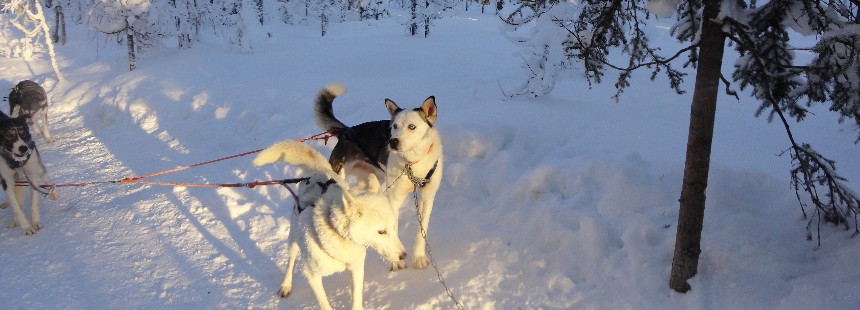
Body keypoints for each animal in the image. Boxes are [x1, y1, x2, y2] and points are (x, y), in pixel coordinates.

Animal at [252, 141, 406, 310]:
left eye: (393, 227)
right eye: (381, 231)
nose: (403, 255)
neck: (338, 235)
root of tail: (321, 171)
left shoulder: (357, 268)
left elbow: (356, 298)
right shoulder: (312, 276)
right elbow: (325, 304)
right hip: (293, 239)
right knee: (291, 262)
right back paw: (286, 285)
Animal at [314, 83, 444, 270]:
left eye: (412, 126)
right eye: (394, 126)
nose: (393, 142)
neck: (413, 164)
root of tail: (346, 131)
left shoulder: (428, 196)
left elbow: (422, 230)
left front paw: (418, 257)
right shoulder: (395, 199)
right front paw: (397, 261)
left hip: (374, 178)